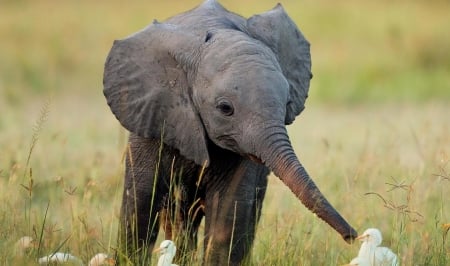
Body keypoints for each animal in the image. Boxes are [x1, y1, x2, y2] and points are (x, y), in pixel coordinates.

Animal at [103, 0, 356, 264]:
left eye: (287, 103)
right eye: (225, 108)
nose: (352, 236)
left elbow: (228, 213)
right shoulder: (153, 117)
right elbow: (140, 205)